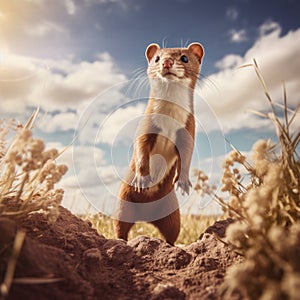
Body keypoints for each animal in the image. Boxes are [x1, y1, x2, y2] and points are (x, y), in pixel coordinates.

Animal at [114, 42, 204, 245]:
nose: (167, 61)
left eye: (184, 57)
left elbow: (187, 155)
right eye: (157, 58)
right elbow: (141, 148)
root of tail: (146, 217)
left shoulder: (188, 130)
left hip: (172, 213)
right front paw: (142, 178)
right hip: (123, 202)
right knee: (120, 225)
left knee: (171, 232)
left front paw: (183, 182)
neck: (169, 120)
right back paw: (121, 241)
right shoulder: (146, 125)